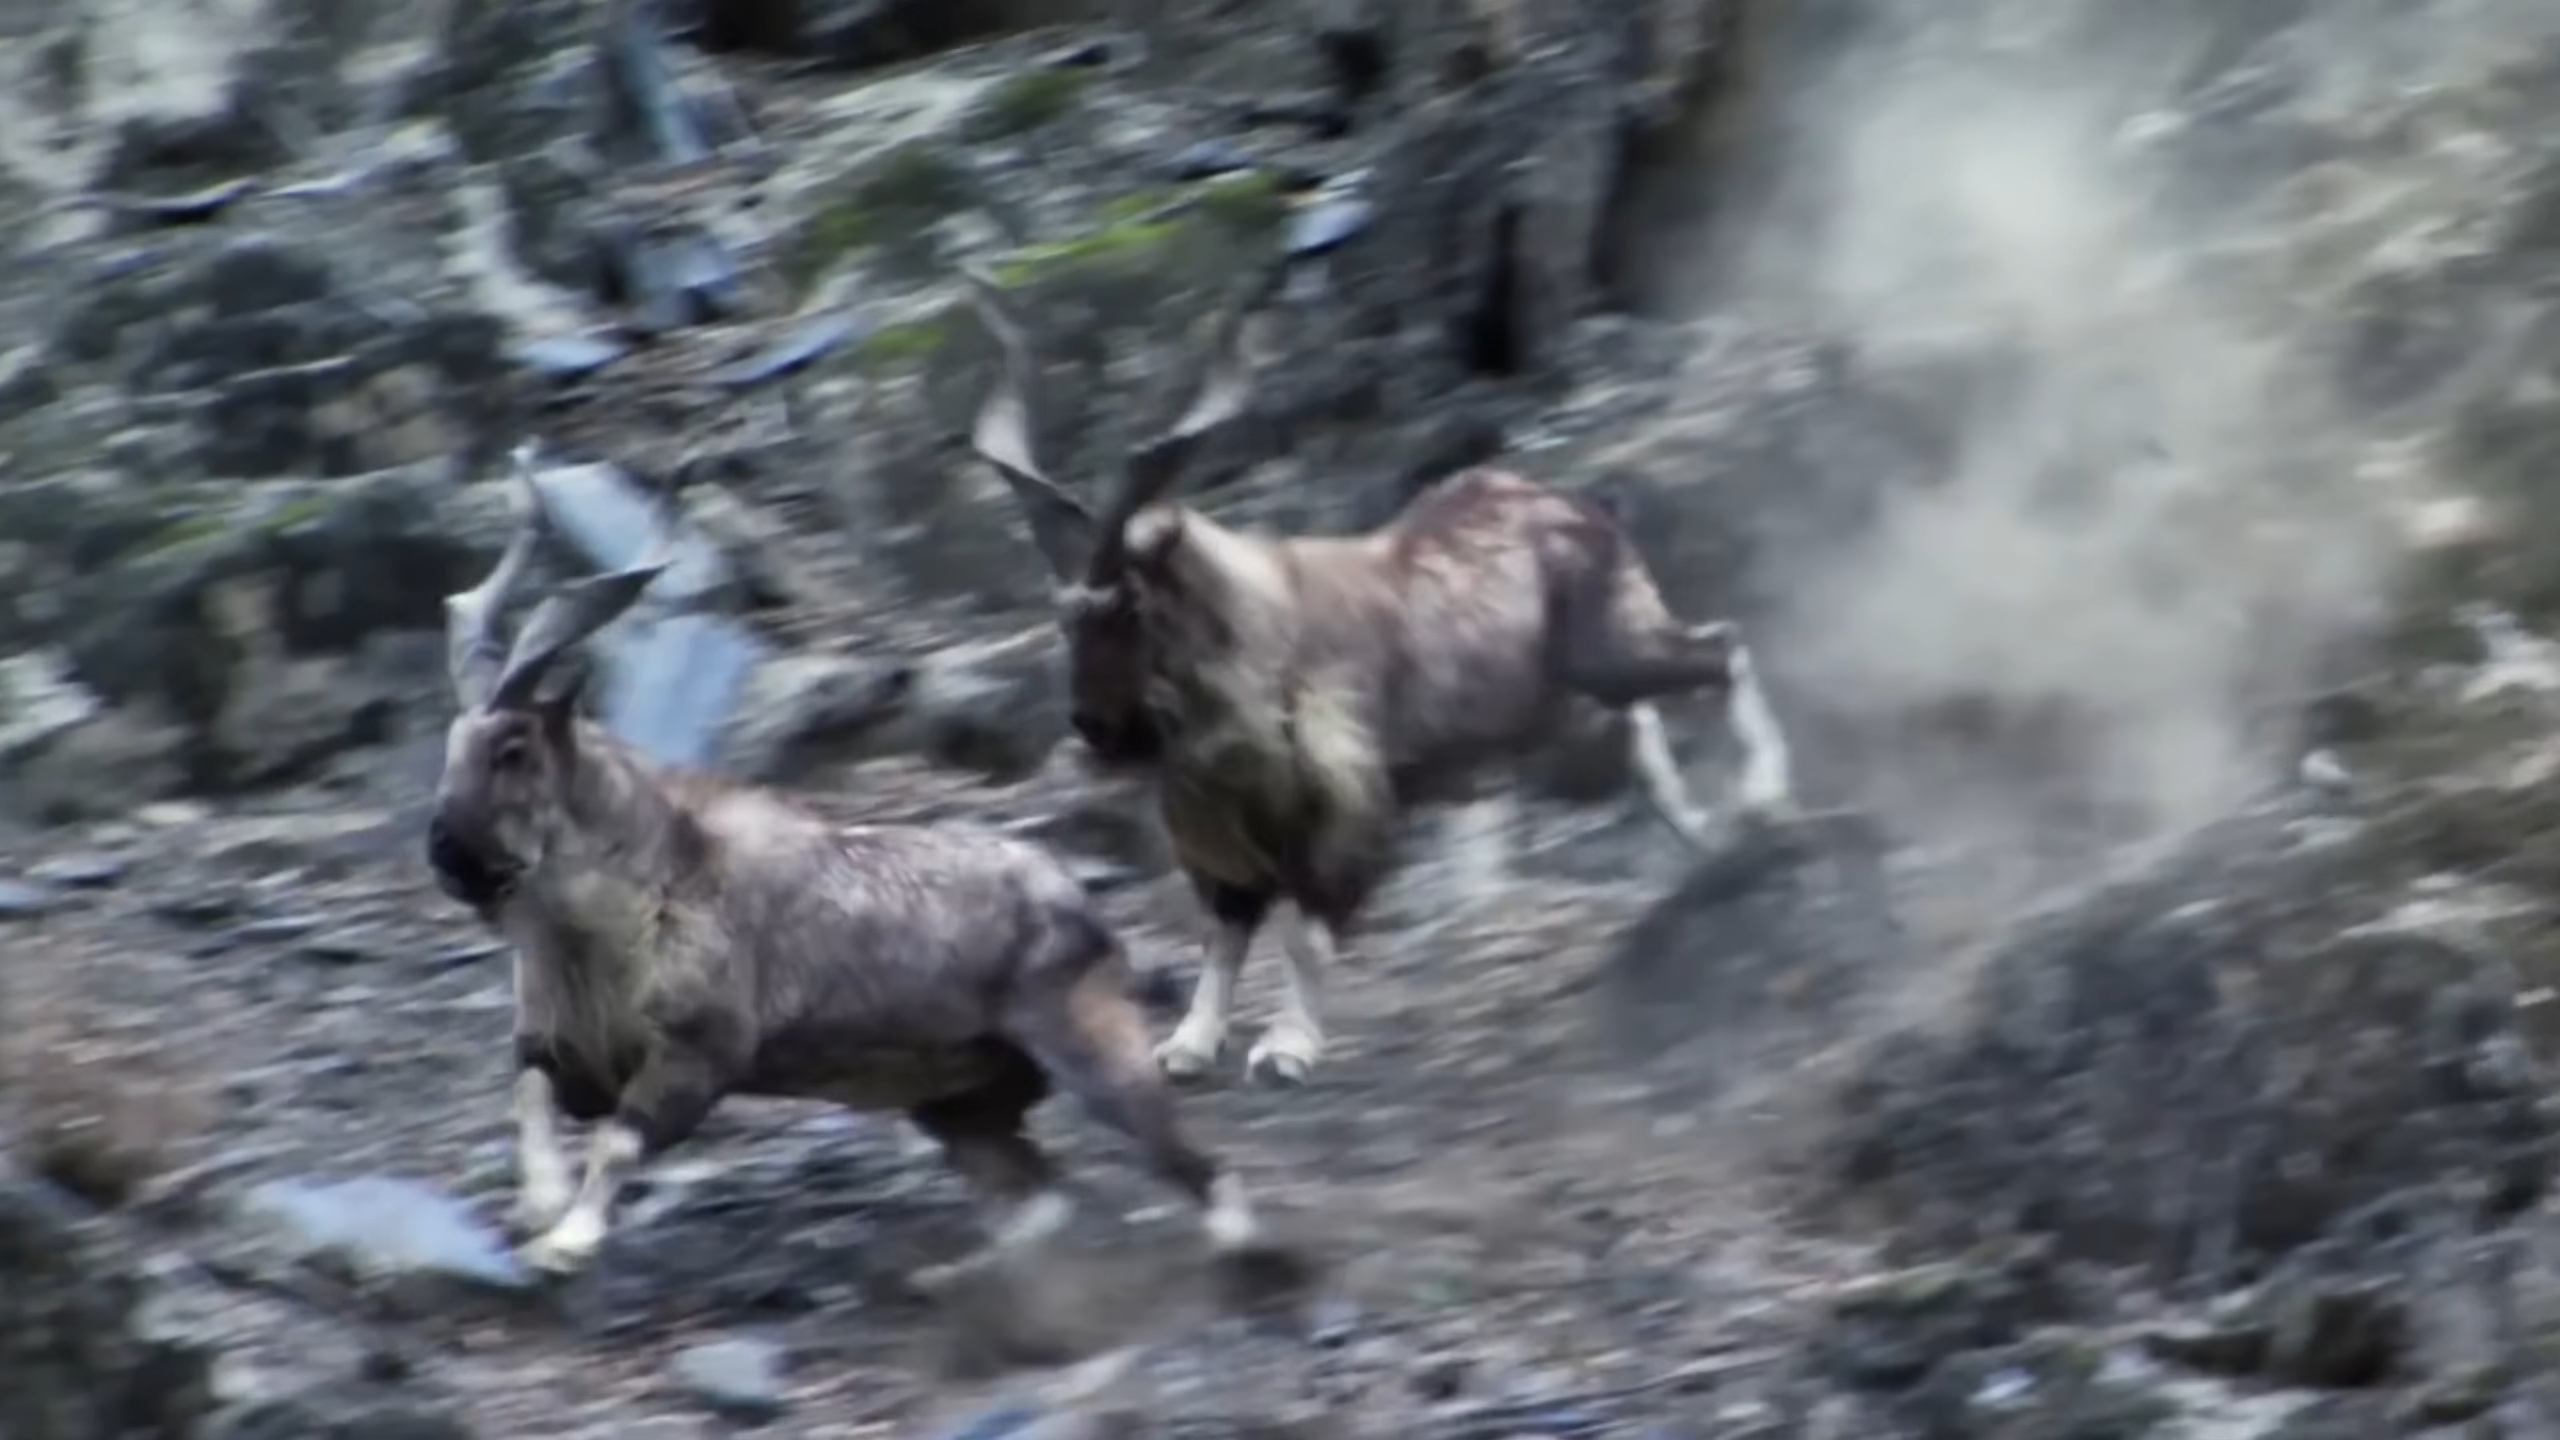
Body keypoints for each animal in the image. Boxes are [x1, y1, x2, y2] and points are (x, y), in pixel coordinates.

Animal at [426, 446, 1271, 1280]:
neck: (620, 916)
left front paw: (566, 1243)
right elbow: (529, 1100)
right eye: (453, 743)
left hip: (1088, 1048)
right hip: (958, 1102)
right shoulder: (561, 1055)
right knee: (1042, 1198)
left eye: (513, 748)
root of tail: (1085, 914)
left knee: (1203, 1171)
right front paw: (540, 1207)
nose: (447, 858)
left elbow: (618, 1141)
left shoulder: (698, 1055)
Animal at [956, 266, 1800, 1090]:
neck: (1262, 649)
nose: (1096, 727)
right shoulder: (1219, 842)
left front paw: (1288, 1048)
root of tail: (1577, 508)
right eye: (1063, 616)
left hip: (1612, 650)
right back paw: (1703, 831)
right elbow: (1224, 938)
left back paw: (1763, 800)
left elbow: (1305, 934)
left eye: (1131, 606)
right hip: (1572, 694)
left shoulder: (1344, 810)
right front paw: (1188, 1046)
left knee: (1720, 649)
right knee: (1643, 727)